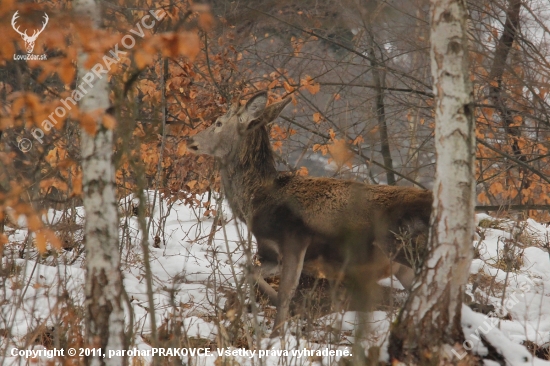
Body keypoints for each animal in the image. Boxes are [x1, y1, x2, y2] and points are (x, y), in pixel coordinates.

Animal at [188, 92, 434, 338]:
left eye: (219, 123)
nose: (191, 141)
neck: (258, 202)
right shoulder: (271, 251)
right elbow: (250, 273)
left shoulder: (295, 239)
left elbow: (287, 291)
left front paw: (278, 332)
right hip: (404, 267)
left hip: (409, 248)